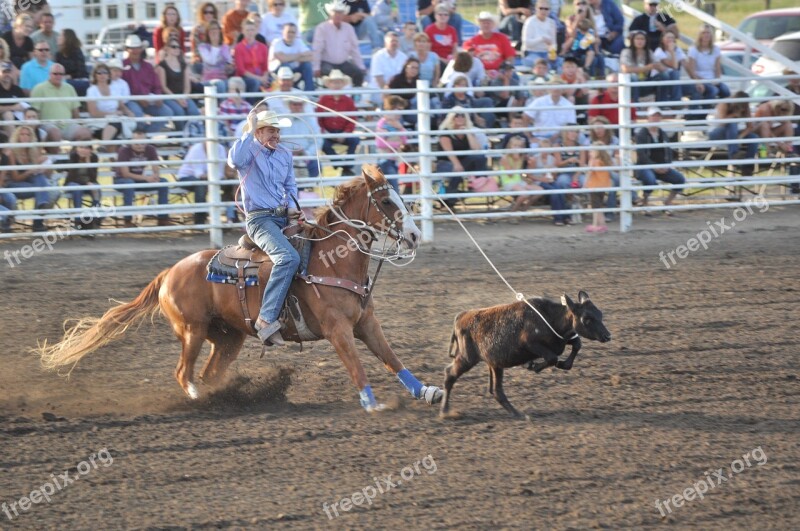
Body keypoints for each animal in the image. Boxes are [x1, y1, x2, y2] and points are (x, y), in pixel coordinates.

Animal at [37, 166, 444, 412]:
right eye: (387, 201)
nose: (414, 236)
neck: (332, 261)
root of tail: (169, 272)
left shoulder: (365, 324)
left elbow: (392, 358)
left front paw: (427, 391)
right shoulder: (338, 330)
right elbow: (357, 366)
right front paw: (372, 403)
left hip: (227, 338)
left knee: (207, 372)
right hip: (192, 330)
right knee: (184, 373)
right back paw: (200, 400)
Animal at [440, 290, 608, 420]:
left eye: (600, 314)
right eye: (587, 318)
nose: (607, 336)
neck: (549, 319)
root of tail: (460, 317)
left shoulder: (562, 340)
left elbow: (576, 345)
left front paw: (561, 364)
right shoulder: (530, 343)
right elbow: (552, 358)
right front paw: (532, 365)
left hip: (495, 364)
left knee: (497, 391)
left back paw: (517, 413)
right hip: (466, 358)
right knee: (450, 374)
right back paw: (445, 412)